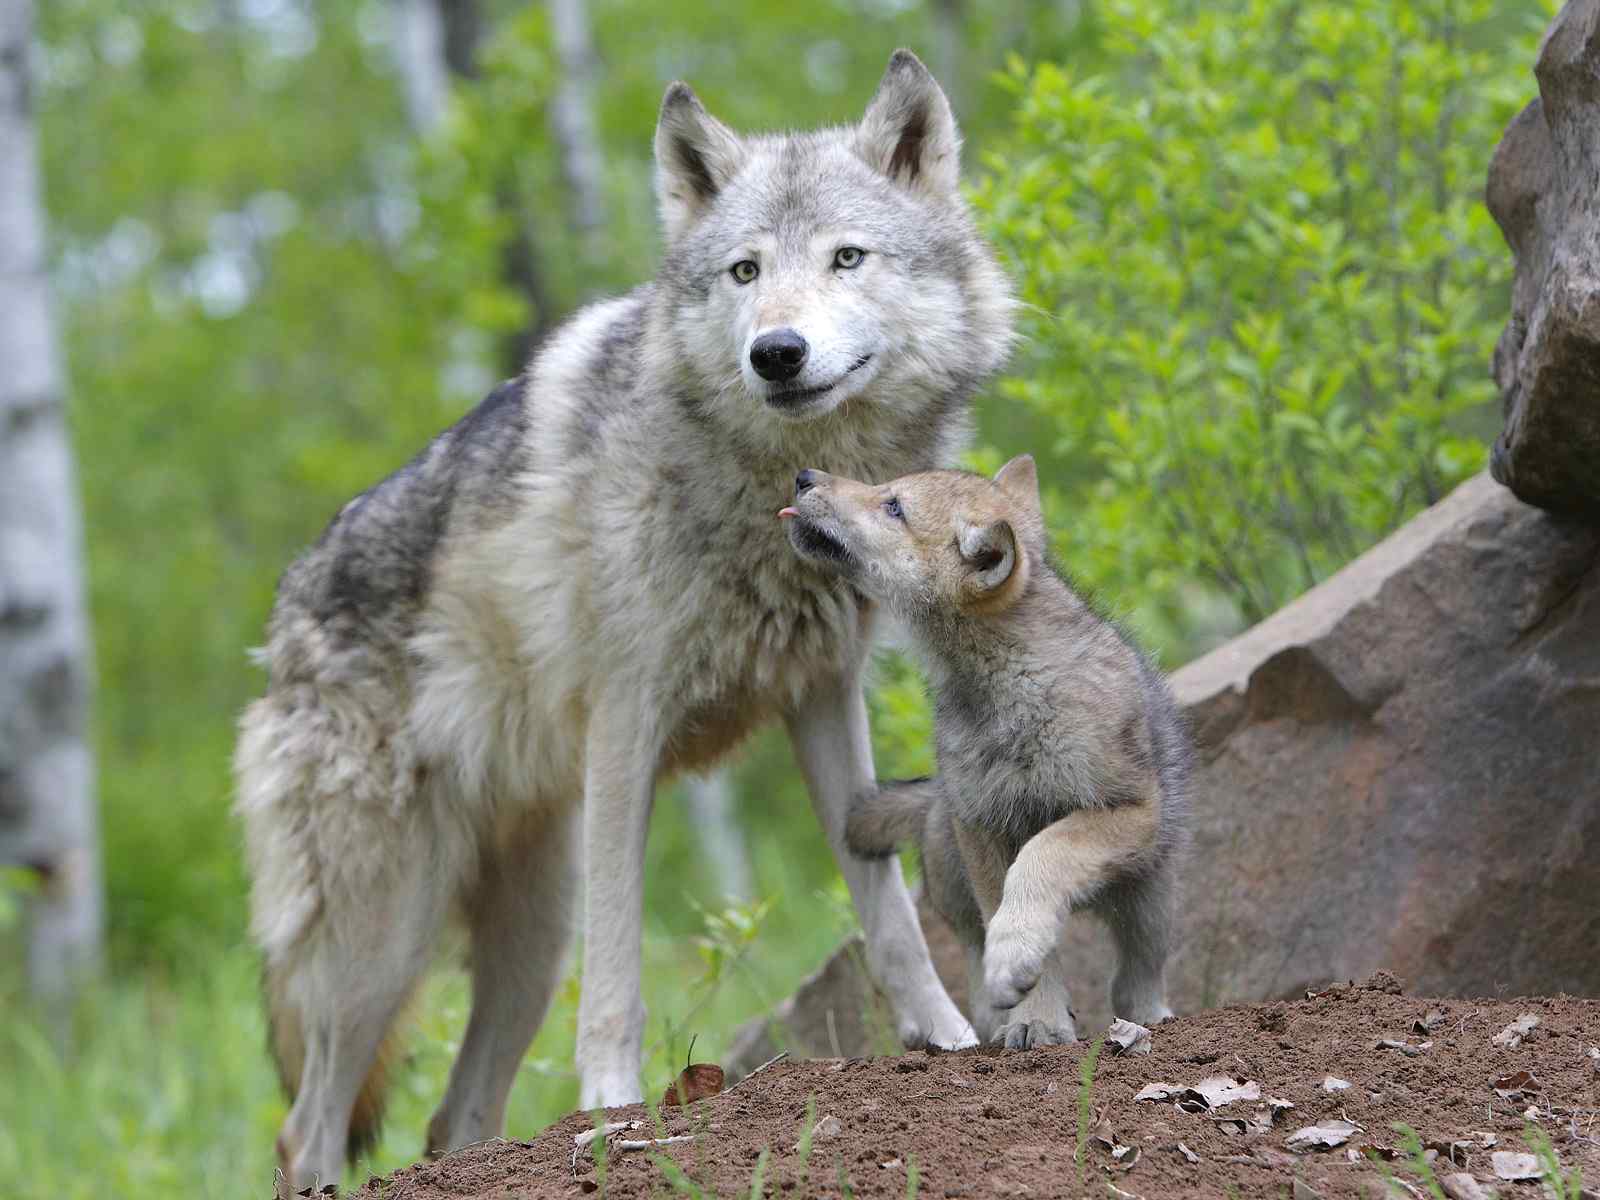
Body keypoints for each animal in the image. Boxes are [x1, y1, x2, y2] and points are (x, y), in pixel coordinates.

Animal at [233, 49, 1011, 1196]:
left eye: (846, 259)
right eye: (743, 272)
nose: (777, 353)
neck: (775, 496)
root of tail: (285, 613)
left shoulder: (823, 697)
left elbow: (886, 912)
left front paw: (944, 1037)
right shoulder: (625, 727)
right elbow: (621, 965)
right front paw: (612, 1107)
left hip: (522, 939)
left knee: (453, 1120)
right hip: (383, 938)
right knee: (307, 1128)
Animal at [780, 460, 1196, 1049]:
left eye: (893, 506)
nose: (804, 475)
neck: (1008, 685)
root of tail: (933, 798)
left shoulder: (1127, 809)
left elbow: (1046, 852)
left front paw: (1018, 963)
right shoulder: (983, 826)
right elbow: (1013, 919)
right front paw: (1035, 1018)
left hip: (1150, 899)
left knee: (1135, 977)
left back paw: (1151, 1017)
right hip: (955, 877)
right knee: (977, 972)